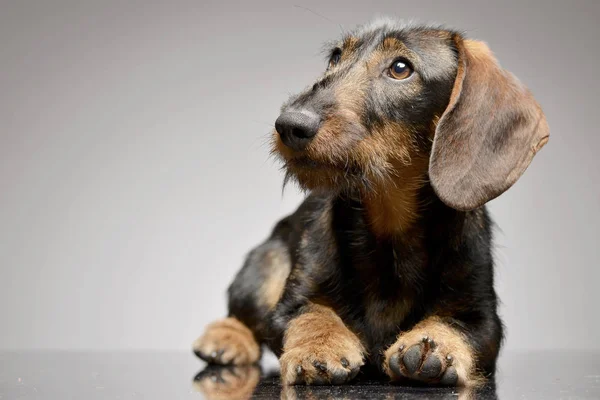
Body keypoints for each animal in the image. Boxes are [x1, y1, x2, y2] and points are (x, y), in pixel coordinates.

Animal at [192, 19, 548, 388]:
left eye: (401, 68)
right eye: (335, 57)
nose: (290, 125)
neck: (390, 219)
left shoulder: (483, 318)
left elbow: (458, 325)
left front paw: (432, 346)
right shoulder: (289, 305)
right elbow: (309, 314)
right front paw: (319, 347)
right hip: (265, 265)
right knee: (244, 315)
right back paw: (225, 338)